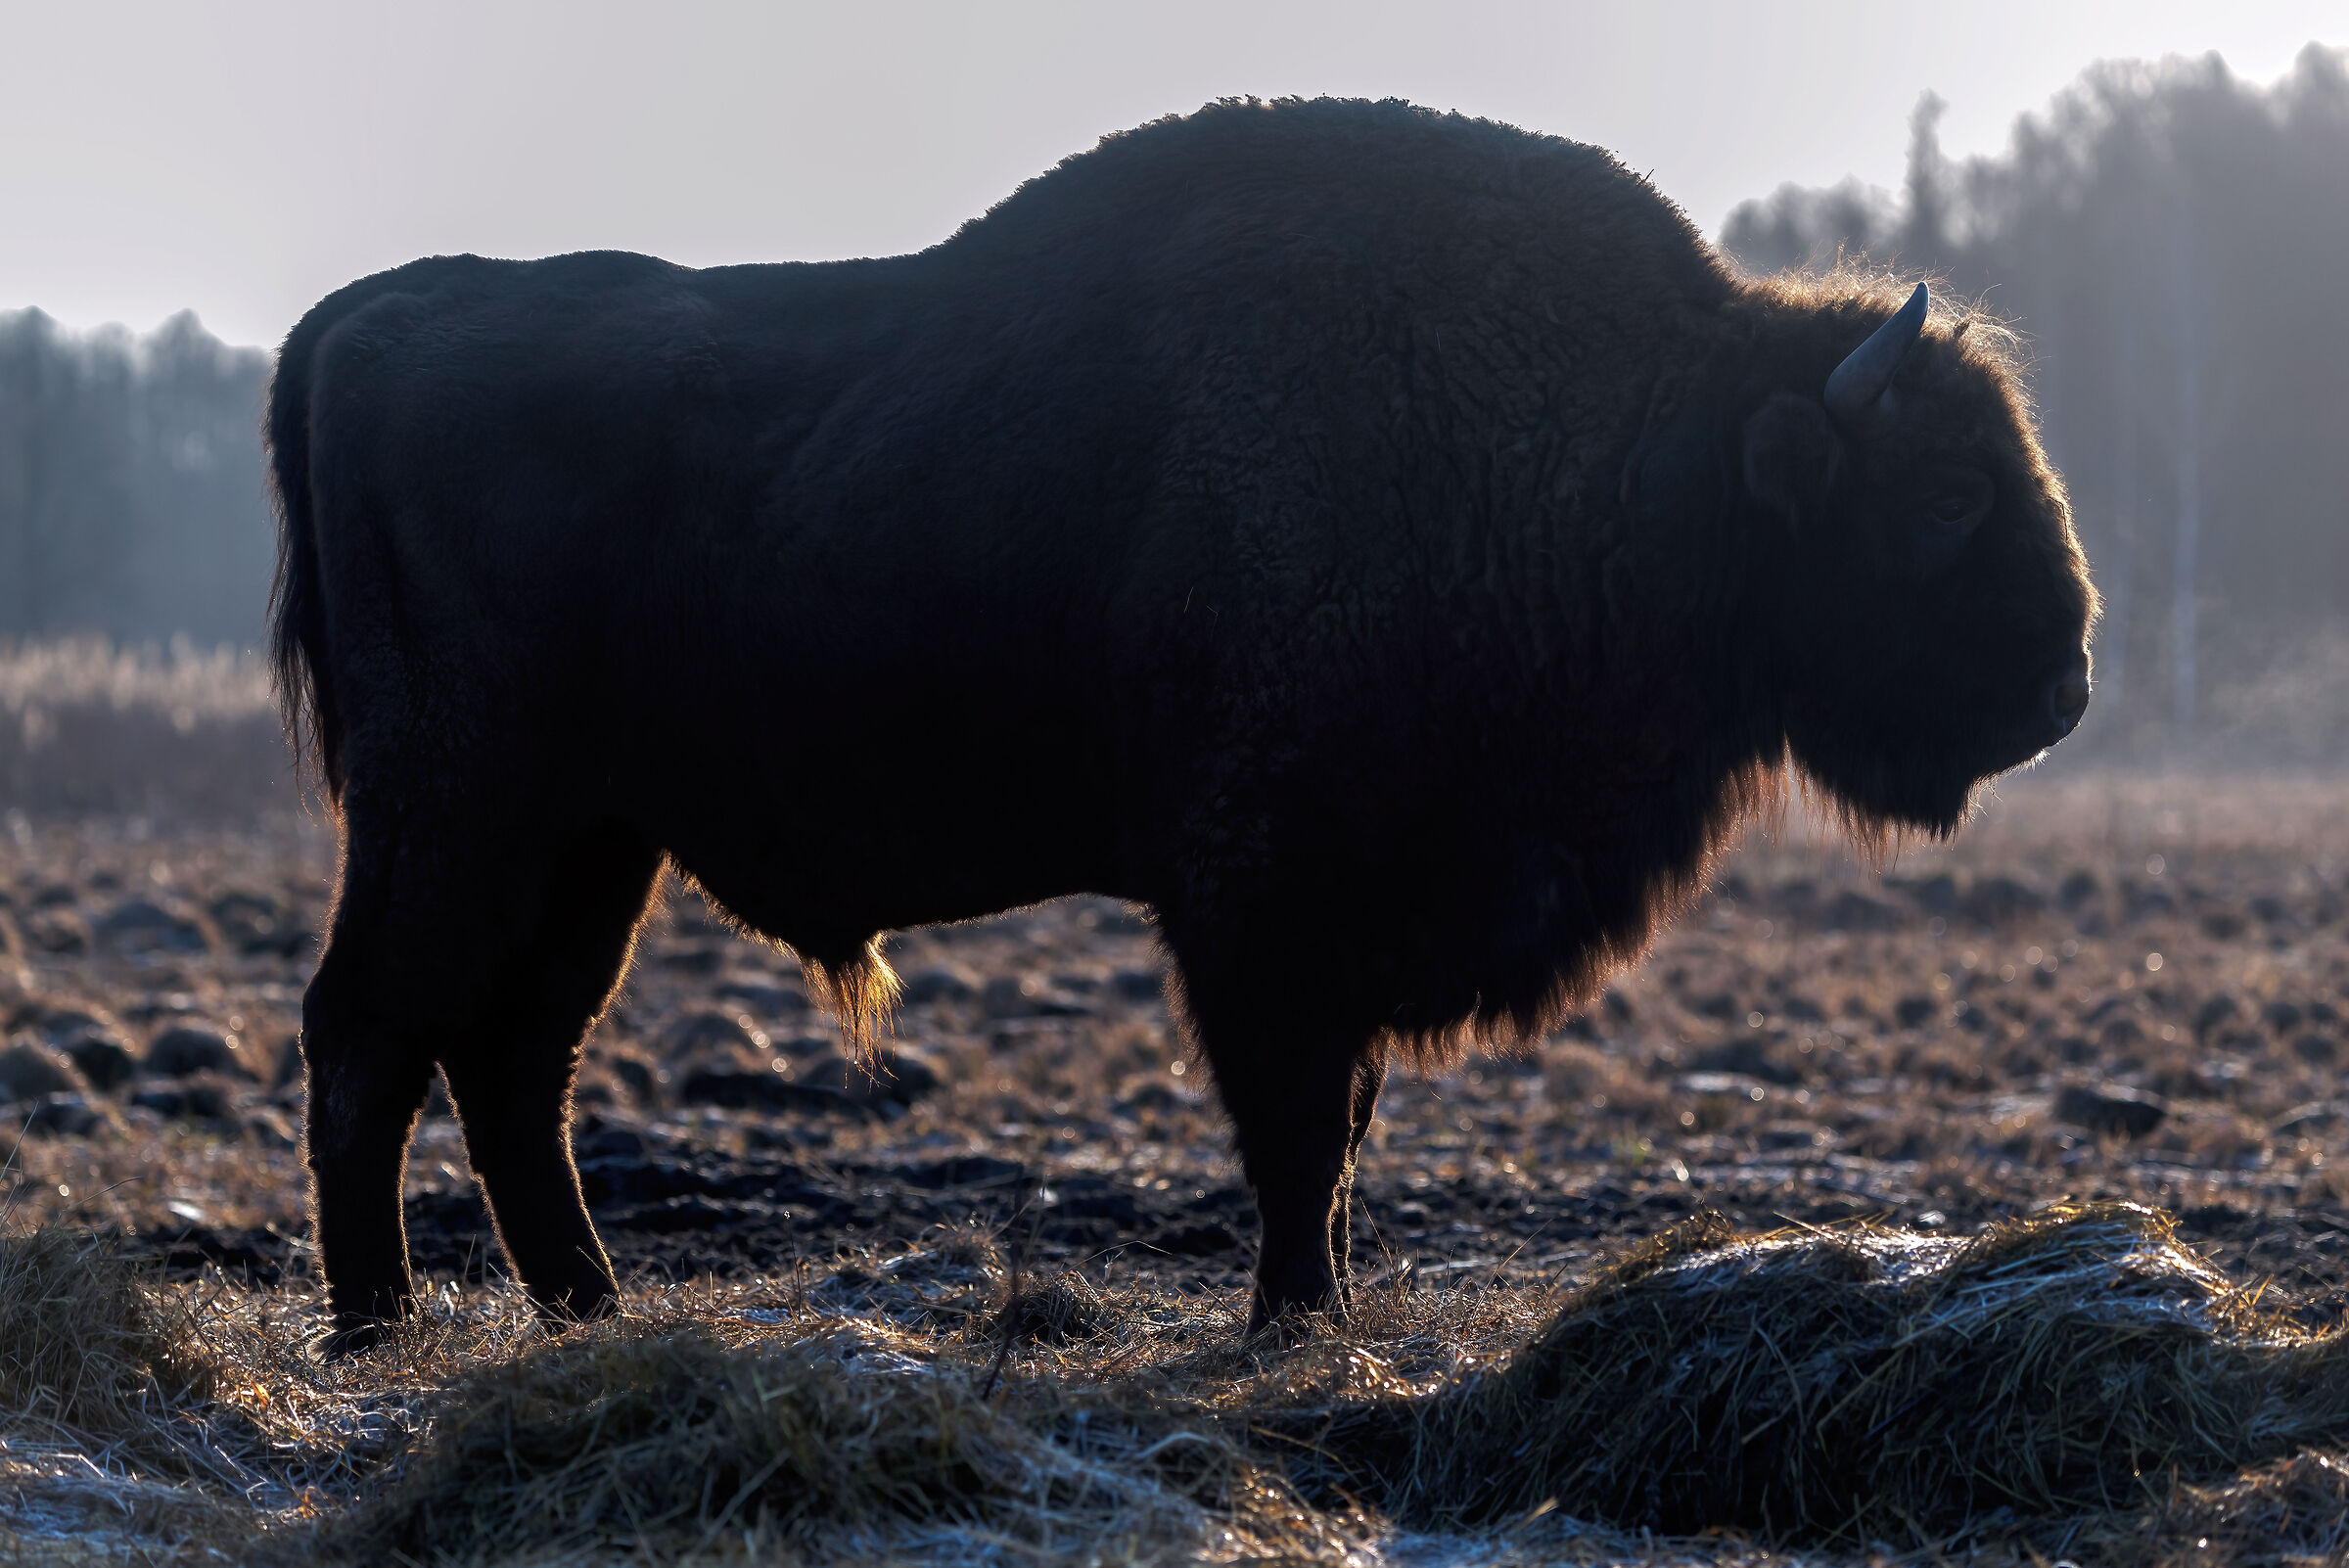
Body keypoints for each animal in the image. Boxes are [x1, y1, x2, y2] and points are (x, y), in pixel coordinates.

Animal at [267, 98, 2094, 1348]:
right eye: (1941, 497)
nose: (2063, 684)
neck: (1627, 439)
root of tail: (367, 315)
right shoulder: (1261, 905)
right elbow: (1294, 1128)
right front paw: (1291, 1317)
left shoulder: (1348, 921)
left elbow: (1341, 1127)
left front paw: (1324, 1310)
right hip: (459, 813)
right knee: (370, 1030)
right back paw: (379, 1329)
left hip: (593, 842)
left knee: (515, 1059)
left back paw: (589, 1312)